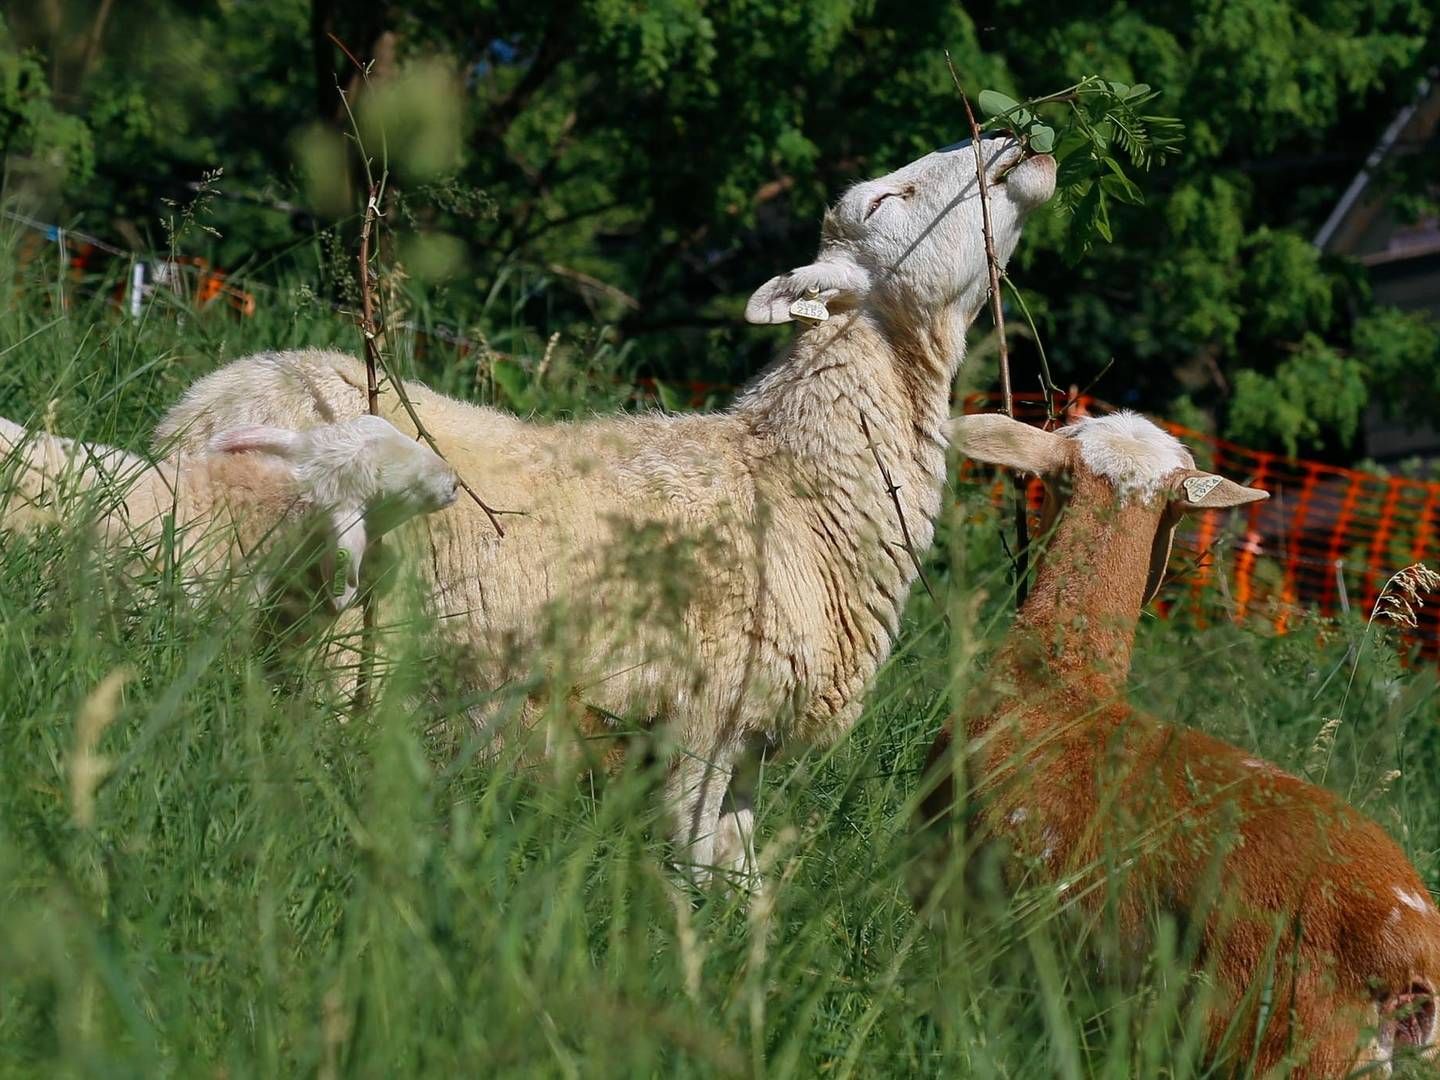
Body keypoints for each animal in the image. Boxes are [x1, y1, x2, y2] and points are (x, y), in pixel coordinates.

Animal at [154, 135, 1059, 881]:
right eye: (885, 200)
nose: (1018, 140)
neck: (796, 485)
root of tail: (196, 414)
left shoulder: (749, 747)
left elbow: (741, 882)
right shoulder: (701, 723)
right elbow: (691, 869)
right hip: (325, 651)